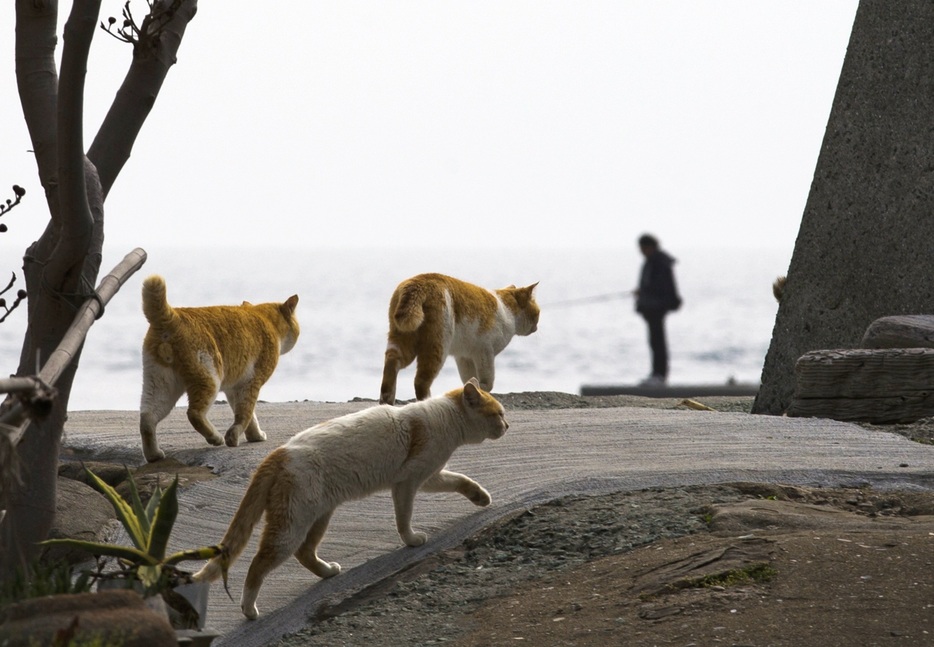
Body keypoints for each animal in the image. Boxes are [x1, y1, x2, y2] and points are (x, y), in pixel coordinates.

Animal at [137, 276, 300, 464]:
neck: (266, 320)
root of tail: (171, 316)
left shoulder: (234, 388)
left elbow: (248, 415)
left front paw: (254, 436)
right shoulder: (252, 382)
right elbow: (245, 413)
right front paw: (234, 437)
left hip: (160, 385)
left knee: (147, 419)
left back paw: (154, 455)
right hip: (209, 379)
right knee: (194, 413)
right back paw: (215, 437)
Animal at [193, 380, 508, 624]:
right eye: (499, 413)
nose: (507, 425)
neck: (445, 417)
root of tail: (278, 453)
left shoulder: (430, 476)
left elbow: (461, 480)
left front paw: (481, 497)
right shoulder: (407, 482)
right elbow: (403, 517)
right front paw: (411, 540)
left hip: (320, 514)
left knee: (304, 553)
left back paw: (328, 572)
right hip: (292, 525)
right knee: (259, 563)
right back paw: (249, 609)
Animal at [380, 274, 540, 404]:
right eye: (538, 313)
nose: (537, 327)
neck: (507, 310)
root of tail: (418, 282)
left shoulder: (464, 357)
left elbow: (468, 378)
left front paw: (472, 389)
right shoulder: (484, 352)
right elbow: (488, 381)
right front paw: (480, 388)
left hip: (402, 339)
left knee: (391, 364)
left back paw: (386, 402)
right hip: (437, 346)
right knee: (421, 381)